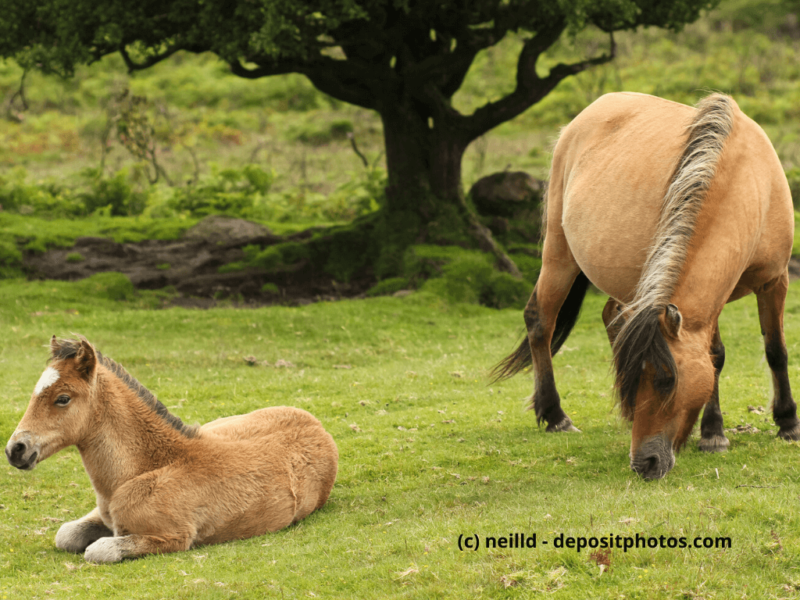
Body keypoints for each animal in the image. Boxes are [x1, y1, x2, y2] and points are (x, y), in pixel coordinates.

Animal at [5, 336, 338, 562]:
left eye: (62, 398)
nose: (15, 449)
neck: (147, 467)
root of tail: (317, 424)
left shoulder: (174, 537)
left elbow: (98, 550)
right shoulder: (103, 515)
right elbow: (66, 535)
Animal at [493, 92, 799, 479]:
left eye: (667, 380)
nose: (644, 463)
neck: (747, 180)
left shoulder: (775, 281)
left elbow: (776, 350)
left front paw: (788, 424)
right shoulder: (710, 299)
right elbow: (715, 356)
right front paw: (713, 433)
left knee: (610, 316)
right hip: (559, 256)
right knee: (540, 321)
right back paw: (555, 416)